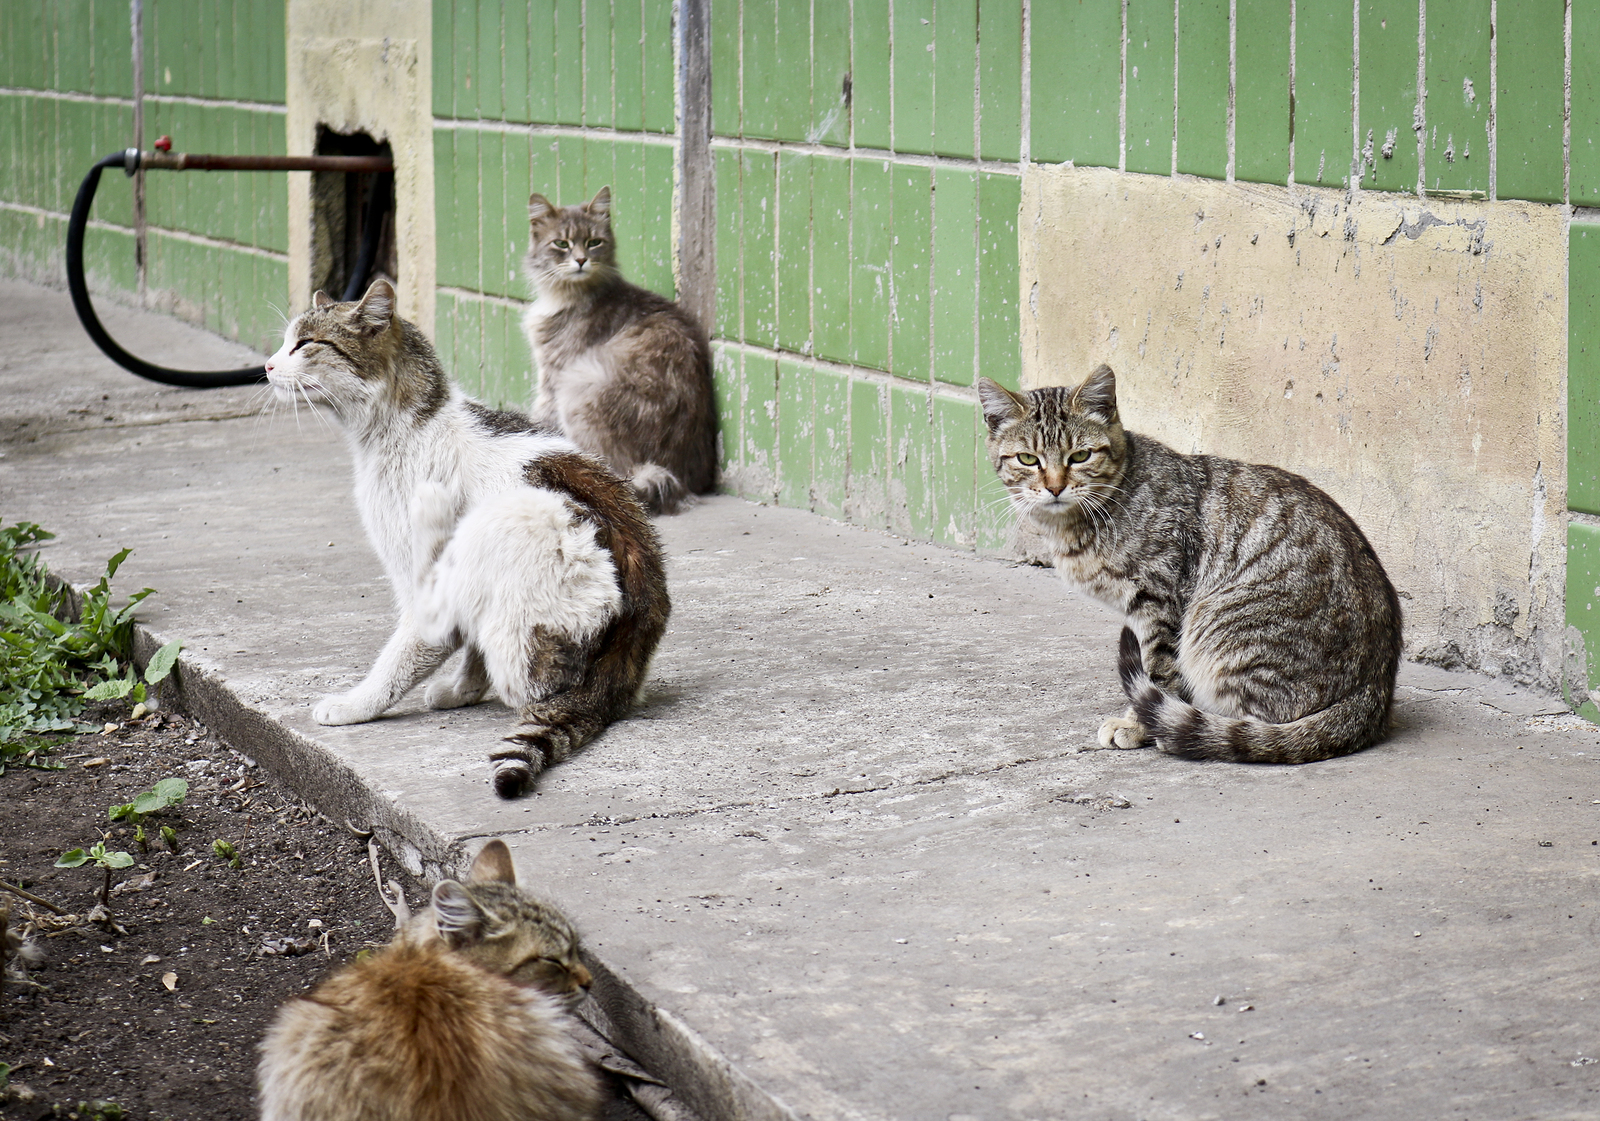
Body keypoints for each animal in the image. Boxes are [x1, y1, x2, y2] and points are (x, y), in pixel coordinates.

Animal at [521, 184, 716, 514]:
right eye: (561, 243)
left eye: (593, 242)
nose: (581, 260)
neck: (568, 295)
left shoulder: (554, 377)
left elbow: (540, 421)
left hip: (579, 387)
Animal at [972, 363, 1401, 764]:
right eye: (1028, 459)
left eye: (1080, 455)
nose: (1055, 487)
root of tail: (1373, 693)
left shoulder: (1159, 598)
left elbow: (1158, 670)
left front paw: (1138, 724)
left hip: (1220, 627)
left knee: (1264, 724)